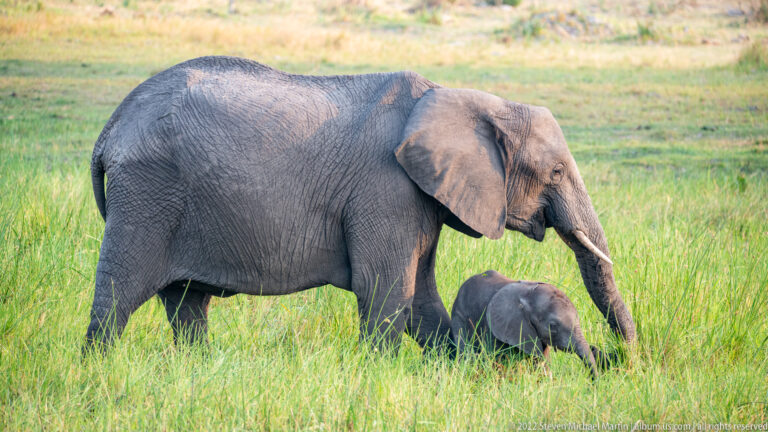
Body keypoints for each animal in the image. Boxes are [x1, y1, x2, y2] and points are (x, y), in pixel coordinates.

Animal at [84, 56, 635, 354]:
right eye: (556, 172)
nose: (625, 357)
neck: (459, 98)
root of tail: (111, 126)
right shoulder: (386, 189)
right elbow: (387, 290)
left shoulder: (418, 198)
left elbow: (422, 296)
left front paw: (458, 366)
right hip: (147, 193)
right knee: (119, 295)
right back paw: (97, 370)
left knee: (187, 303)